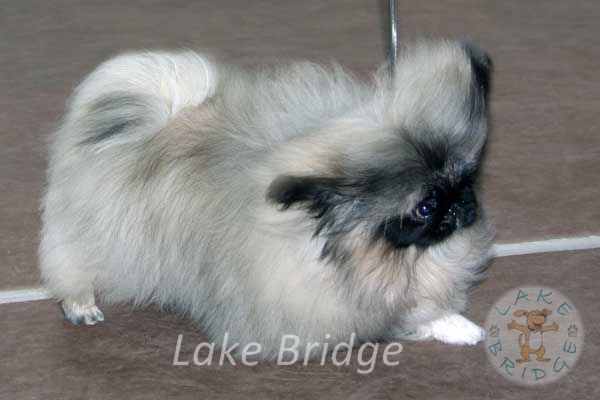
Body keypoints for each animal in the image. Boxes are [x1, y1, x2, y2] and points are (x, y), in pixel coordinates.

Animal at [40, 40, 494, 359]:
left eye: (466, 177)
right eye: (425, 207)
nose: (462, 204)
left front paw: (457, 323)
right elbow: (401, 320)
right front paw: (453, 326)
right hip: (96, 235)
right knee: (70, 262)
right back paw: (80, 303)